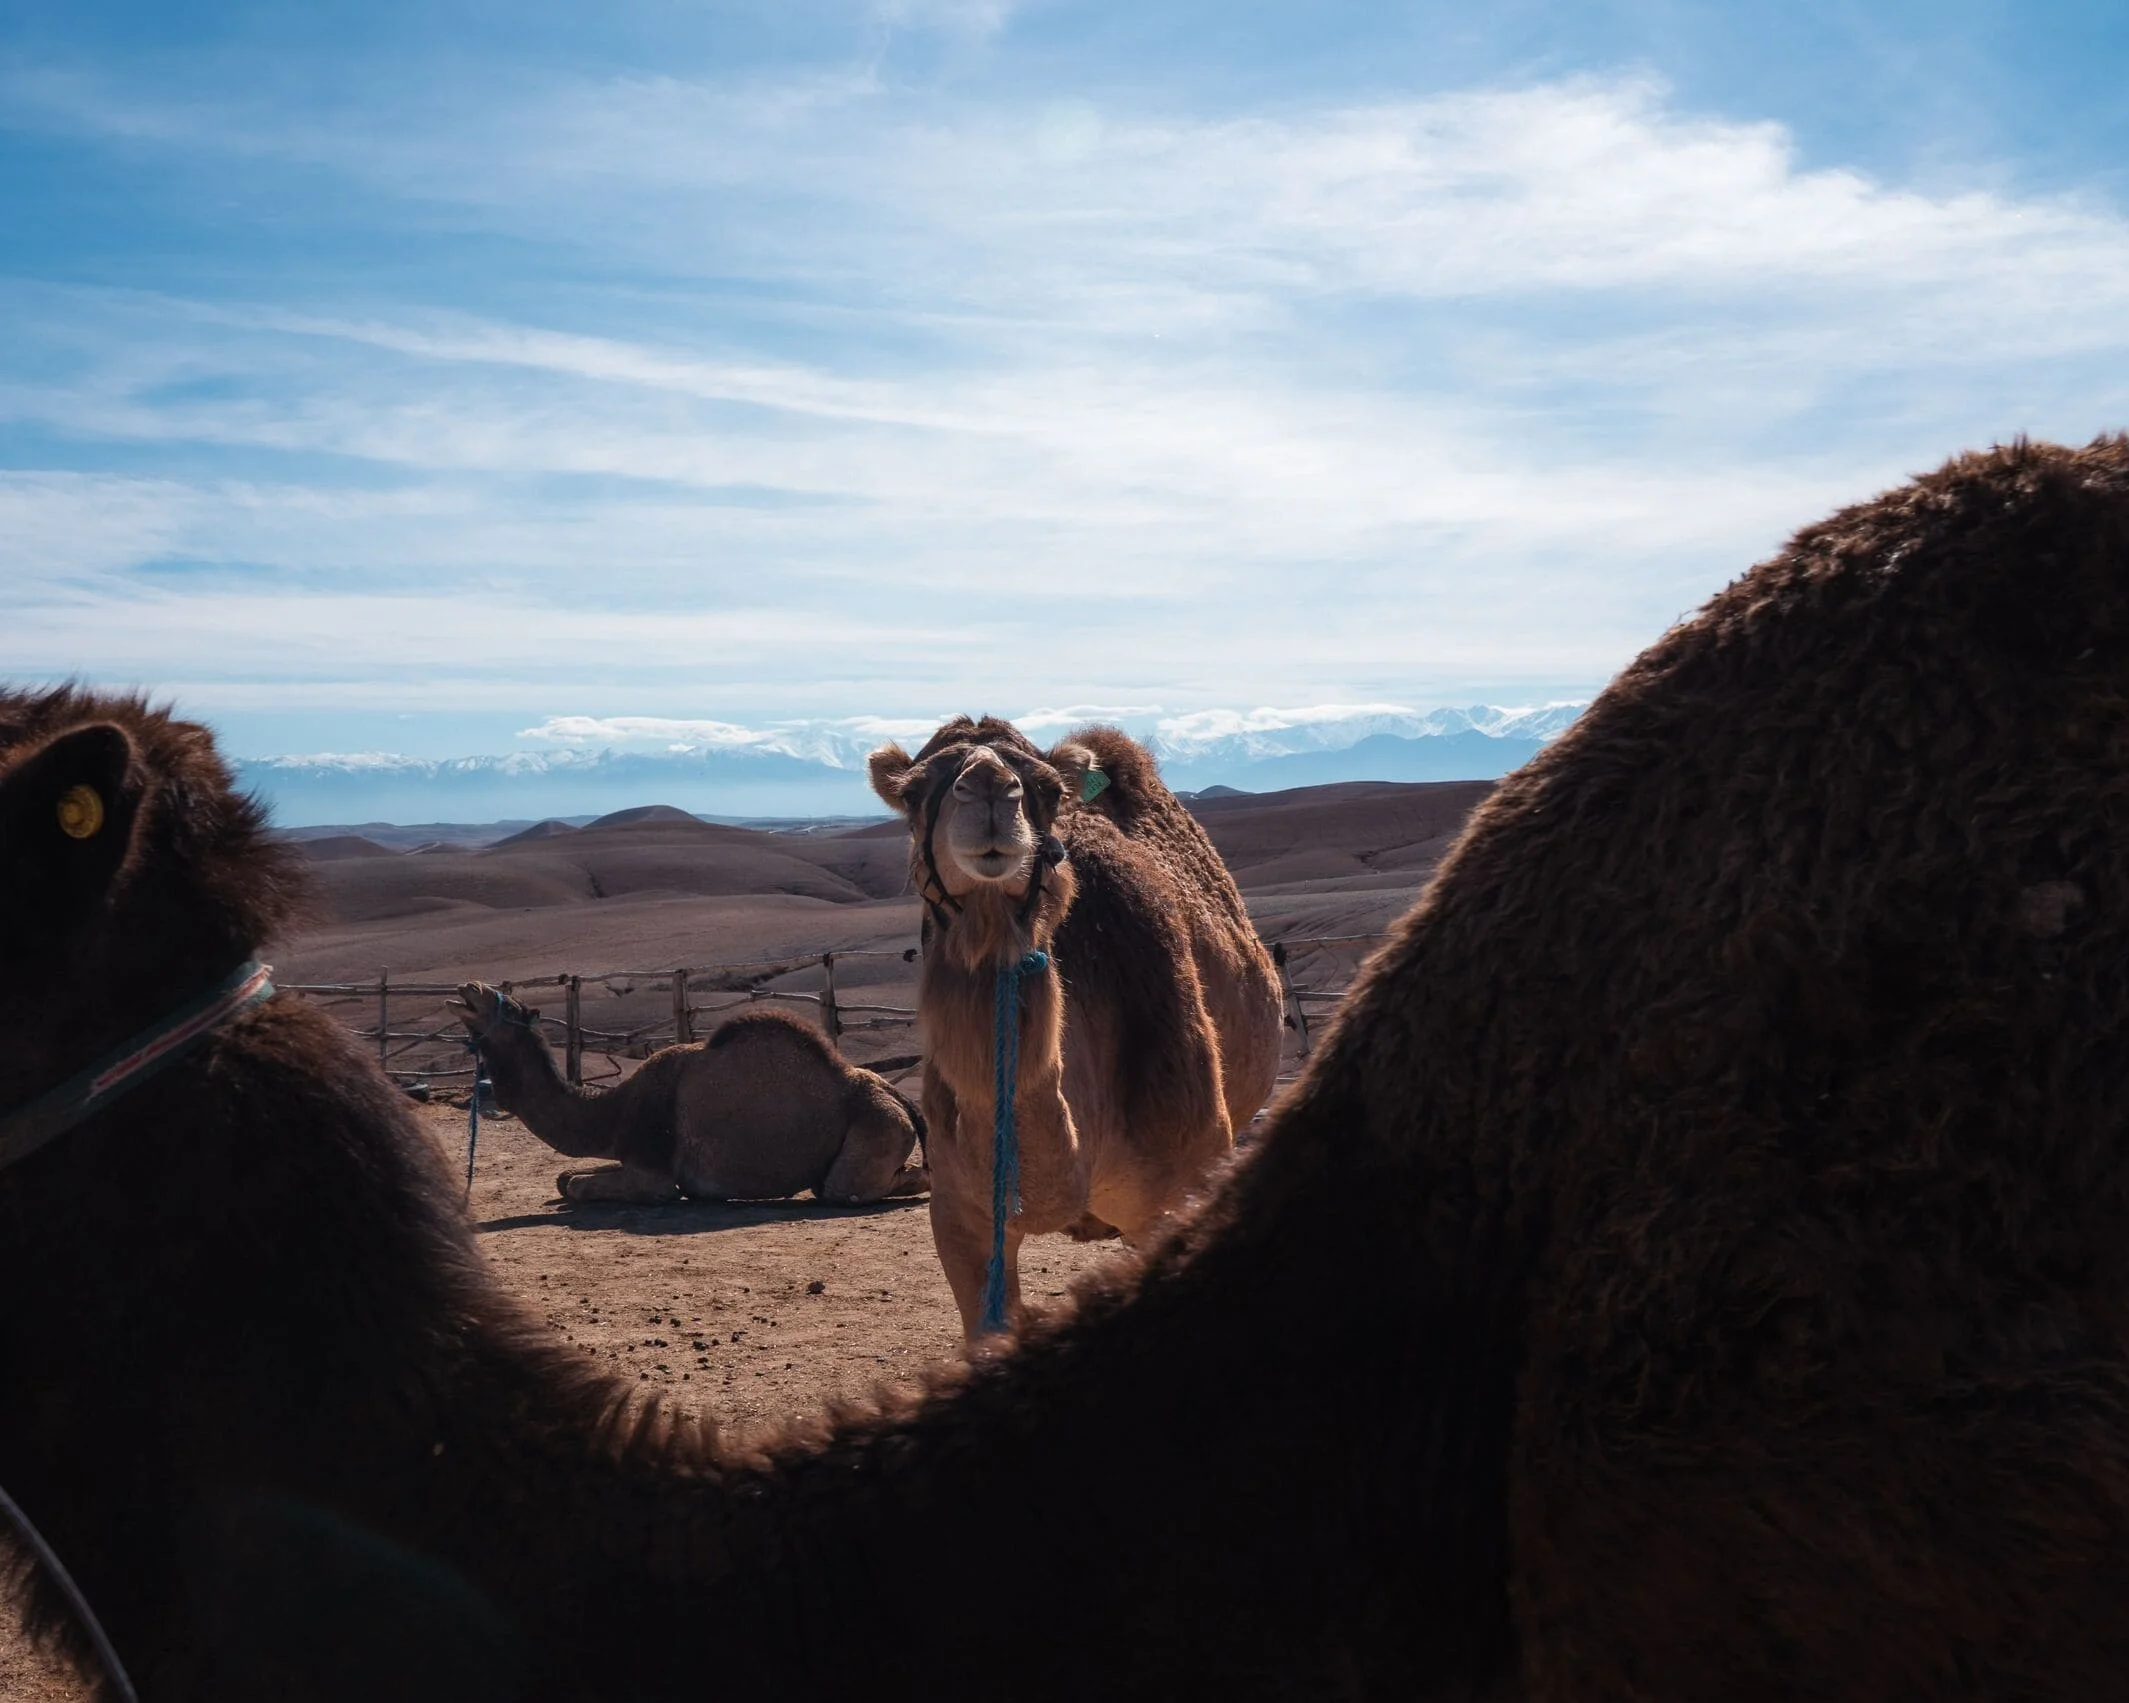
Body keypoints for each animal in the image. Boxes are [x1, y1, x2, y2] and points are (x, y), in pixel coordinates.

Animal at [449, 984, 928, 1205]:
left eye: (508, 1005)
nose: (469, 988)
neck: (614, 1111)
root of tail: (902, 1099)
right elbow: (564, 1177)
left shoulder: (655, 1174)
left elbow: (580, 1186)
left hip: (877, 1124)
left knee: (844, 1188)